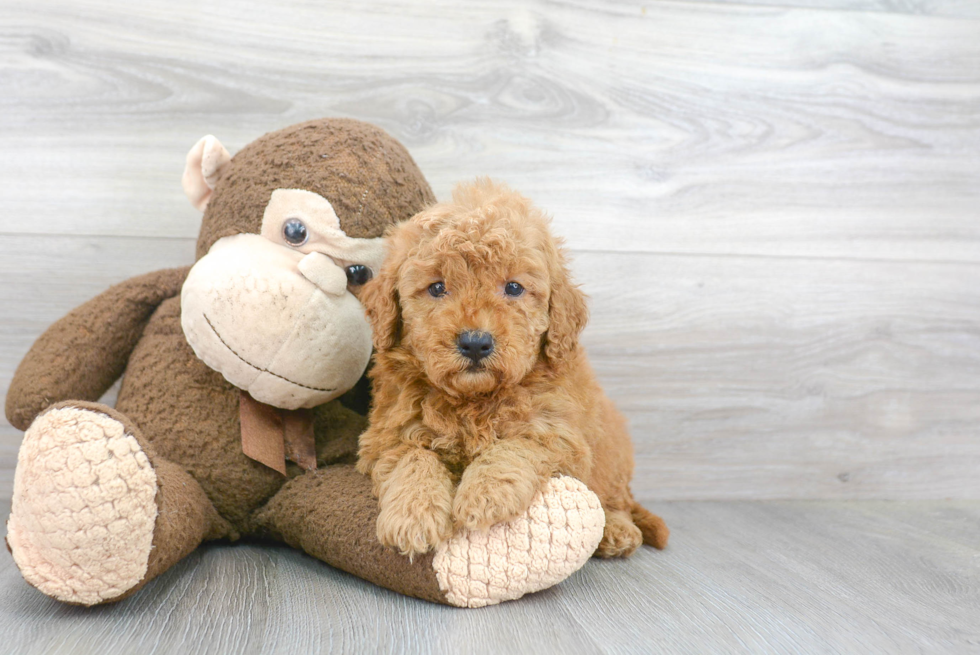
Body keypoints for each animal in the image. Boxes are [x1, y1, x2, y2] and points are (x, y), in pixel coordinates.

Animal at [356, 178, 668, 560]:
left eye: (514, 287)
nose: (475, 342)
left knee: (615, 498)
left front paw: (484, 495)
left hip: (611, 451)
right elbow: (412, 457)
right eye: (437, 287)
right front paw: (412, 515)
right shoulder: (385, 436)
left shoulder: (559, 433)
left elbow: (515, 447)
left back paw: (617, 530)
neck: (474, 400)